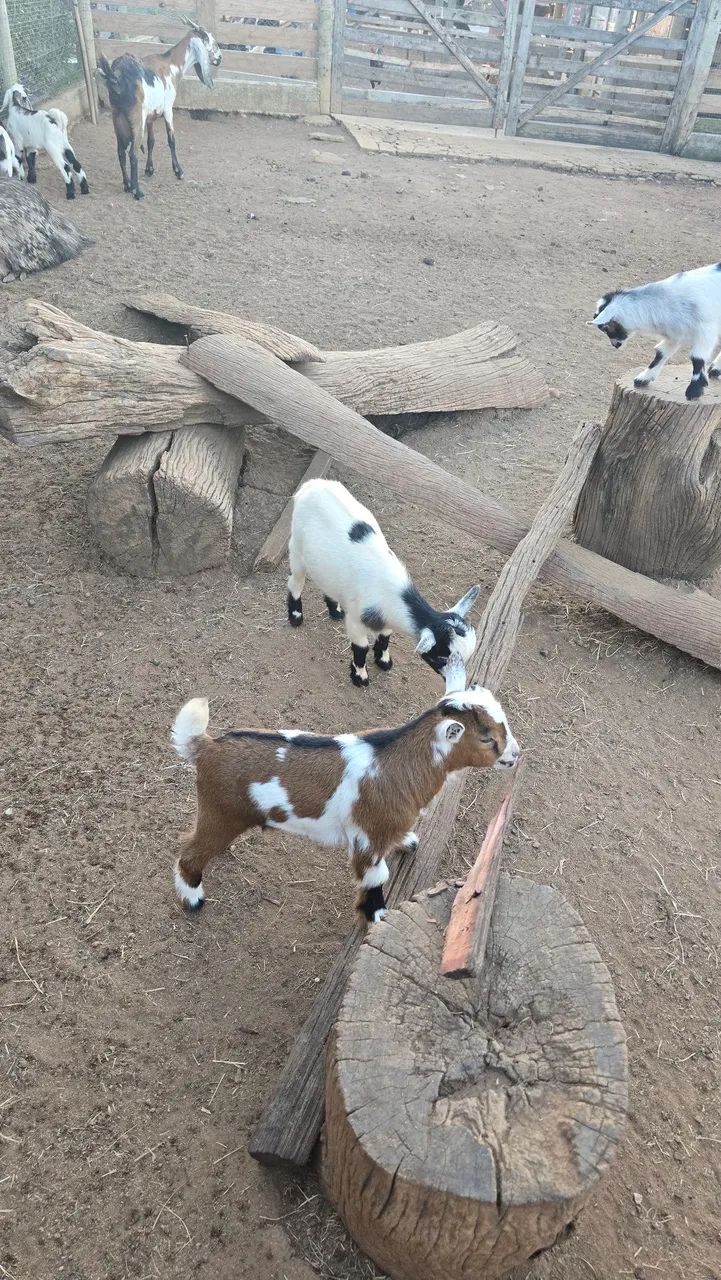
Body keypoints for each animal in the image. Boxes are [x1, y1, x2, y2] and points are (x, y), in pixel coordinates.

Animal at [97, 17, 221, 201]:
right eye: (212, 41)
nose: (219, 58)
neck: (172, 65)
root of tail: (117, 77)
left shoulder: (150, 117)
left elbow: (151, 141)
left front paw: (150, 169)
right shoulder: (168, 109)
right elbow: (171, 140)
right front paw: (178, 171)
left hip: (117, 116)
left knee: (120, 151)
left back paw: (127, 184)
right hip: (136, 118)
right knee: (132, 153)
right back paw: (137, 191)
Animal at [171, 680, 519, 923]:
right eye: (487, 738)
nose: (515, 755)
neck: (397, 763)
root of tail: (206, 747)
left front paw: (407, 841)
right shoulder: (369, 836)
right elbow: (375, 878)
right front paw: (376, 915)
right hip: (219, 812)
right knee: (190, 852)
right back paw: (193, 898)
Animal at [287, 478, 480, 688]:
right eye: (442, 658)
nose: (459, 680)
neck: (393, 594)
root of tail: (311, 484)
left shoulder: (388, 618)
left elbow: (385, 638)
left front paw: (383, 661)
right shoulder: (356, 622)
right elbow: (361, 649)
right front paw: (360, 677)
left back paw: (335, 611)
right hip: (296, 547)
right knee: (295, 582)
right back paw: (296, 616)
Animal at [591, 261, 721, 401]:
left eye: (606, 328)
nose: (615, 345)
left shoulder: (706, 330)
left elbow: (697, 358)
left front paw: (694, 390)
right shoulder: (675, 334)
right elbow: (661, 352)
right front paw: (643, 378)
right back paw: (715, 370)